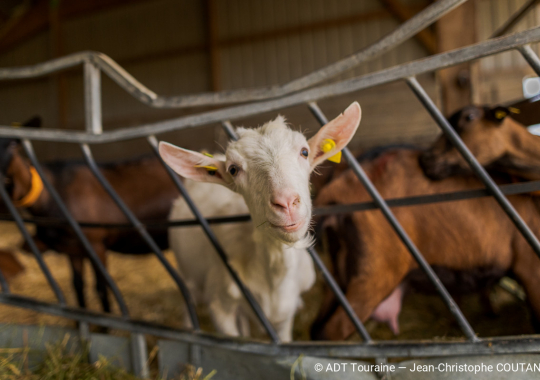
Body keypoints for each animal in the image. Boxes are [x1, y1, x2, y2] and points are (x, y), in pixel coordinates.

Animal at [1, 119, 179, 312]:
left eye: (13, 144)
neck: (54, 192)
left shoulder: (96, 245)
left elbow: (101, 288)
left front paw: (106, 319)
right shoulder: (72, 249)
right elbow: (78, 284)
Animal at [160, 101, 362, 342]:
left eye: (304, 152)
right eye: (233, 169)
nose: (286, 202)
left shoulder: (287, 313)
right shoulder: (220, 306)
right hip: (188, 274)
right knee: (187, 299)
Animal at [312, 108, 540, 340]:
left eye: (469, 118)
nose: (428, 159)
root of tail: (341, 185)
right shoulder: (530, 264)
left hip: (339, 271)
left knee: (317, 327)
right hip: (375, 271)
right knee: (332, 331)